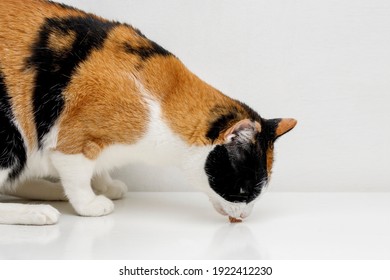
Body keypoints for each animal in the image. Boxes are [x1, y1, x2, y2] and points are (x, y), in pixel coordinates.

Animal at [0, 0, 296, 224]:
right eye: (243, 189)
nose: (244, 217)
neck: (163, 98)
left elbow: (97, 169)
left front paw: (106, 184)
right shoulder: (72, 142)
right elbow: (79, 178)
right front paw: (90, 203)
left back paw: (52, 192)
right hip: (12, 137)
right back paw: (37, 212)